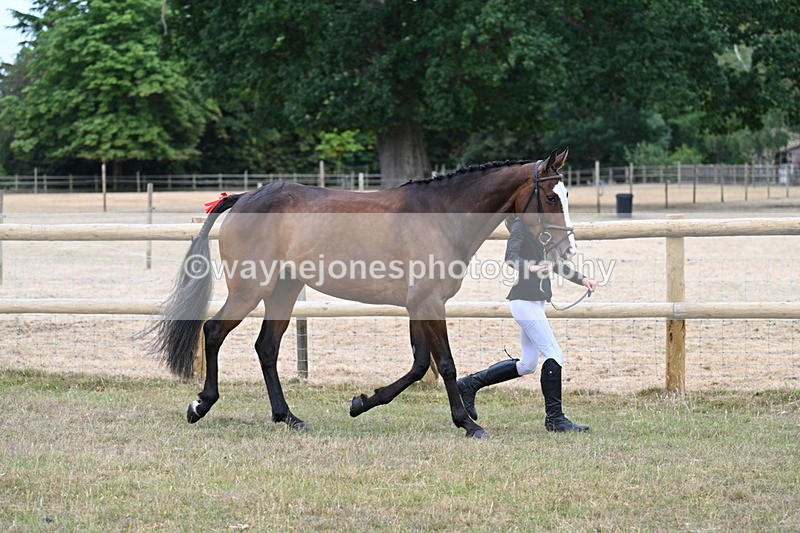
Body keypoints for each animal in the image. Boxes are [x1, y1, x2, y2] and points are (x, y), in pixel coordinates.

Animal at [149, 148, 577, 438]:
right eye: (551, 197)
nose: (566, 250)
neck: (442, 215)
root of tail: (243, 198)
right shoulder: (429, 303)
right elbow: (445, 364)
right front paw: (468, 424)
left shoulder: (418, 305)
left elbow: (419, 365)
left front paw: (361, 403)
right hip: (249, 290)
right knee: (213, 331)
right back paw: (200, 404)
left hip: (283, 291)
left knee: (266, 348)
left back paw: (289, 417)